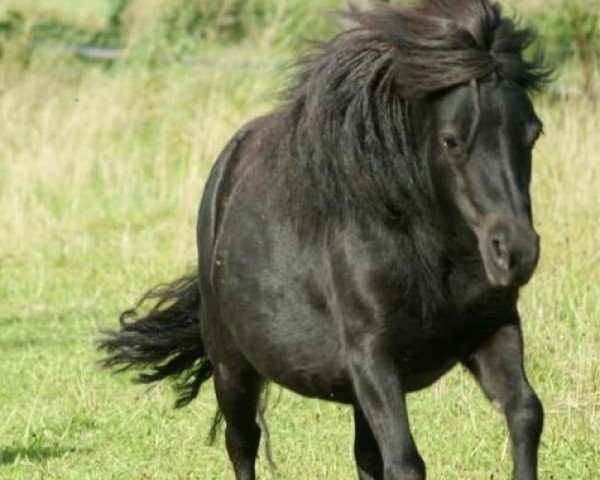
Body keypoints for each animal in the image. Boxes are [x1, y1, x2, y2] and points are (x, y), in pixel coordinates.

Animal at [98, 1, 548, 478]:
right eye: (452, 140)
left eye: (533, 133)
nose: (516, 252)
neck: (424, 249)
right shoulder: (373, 357)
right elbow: (405, 460)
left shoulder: (491, 328)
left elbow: (525, 412)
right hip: (232, 366)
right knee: (242, 442)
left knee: (363, 453)